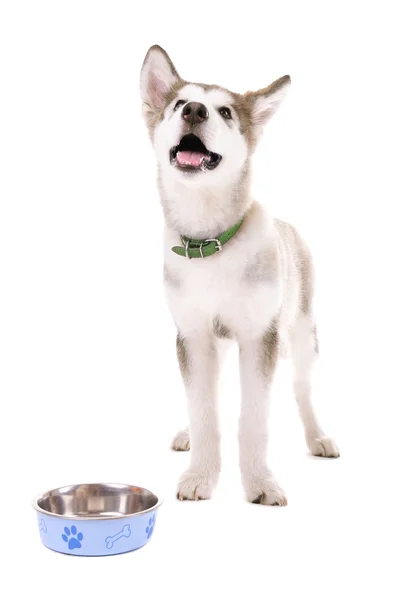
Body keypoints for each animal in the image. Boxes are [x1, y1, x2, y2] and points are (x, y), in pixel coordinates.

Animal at [139, 47, 340, 504]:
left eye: (226, 112)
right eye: (179, 103)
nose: (194, 111)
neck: (209, 242)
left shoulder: (258, 337)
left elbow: (254, 420)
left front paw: (261, 483)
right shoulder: (194, 336)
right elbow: (203, 409)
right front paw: (199, 475)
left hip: (302, 335)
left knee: (303, 389)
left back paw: (318, 436)